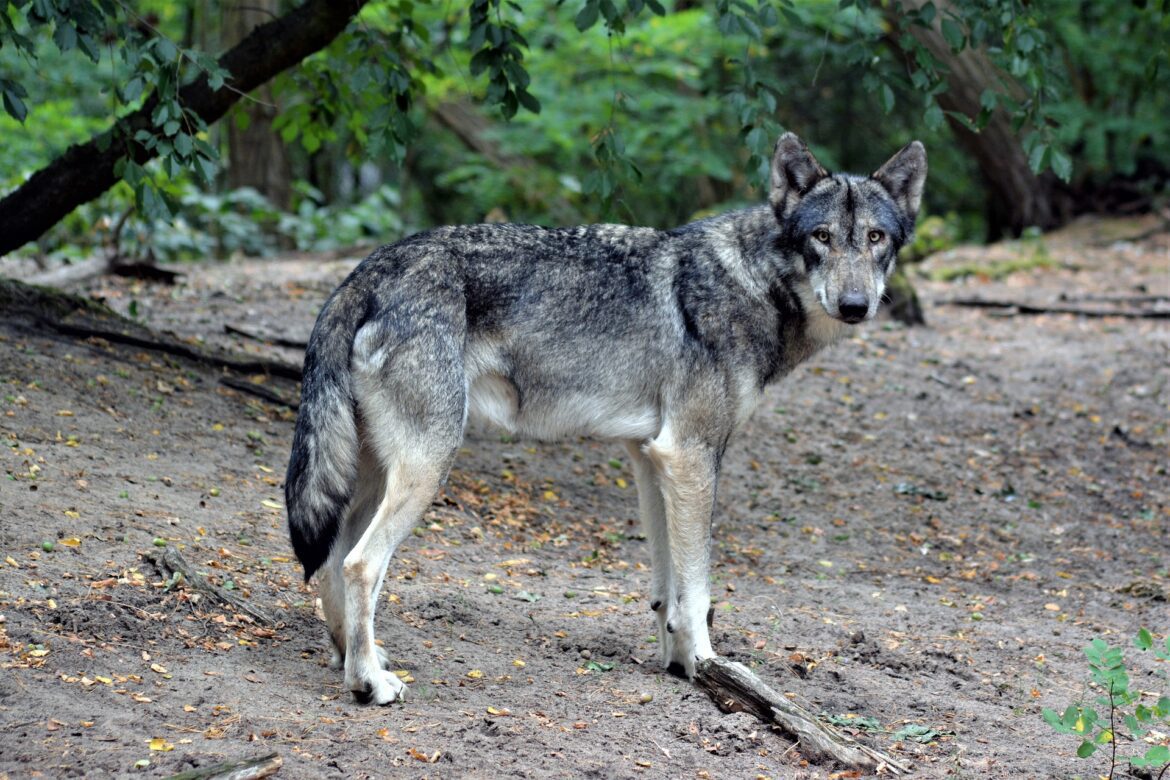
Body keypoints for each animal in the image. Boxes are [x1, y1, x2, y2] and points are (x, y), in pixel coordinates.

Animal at [287, 130, 926, 706]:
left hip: (376, 474)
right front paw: (707, 664)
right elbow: (698, 589)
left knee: (332, 561)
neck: (752, 281)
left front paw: (677, 664)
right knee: (360, 565)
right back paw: (369, 684)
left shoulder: (651, 457)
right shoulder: (691, 455)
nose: (855, 306)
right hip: (428, 465)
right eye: (821, 237)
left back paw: (351, 660)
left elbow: (667, 589)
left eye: (874, 238)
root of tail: (367, 270)